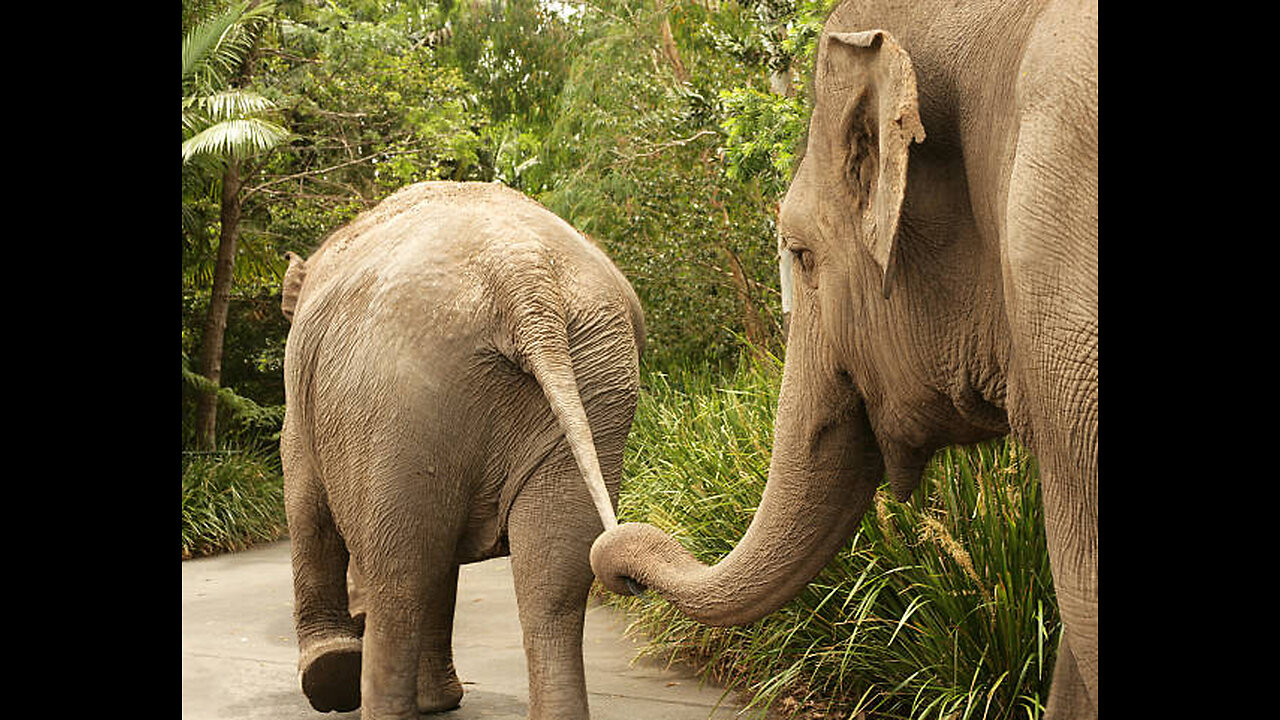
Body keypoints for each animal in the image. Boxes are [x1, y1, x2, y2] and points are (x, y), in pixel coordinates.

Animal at [276, 180, 645, 717]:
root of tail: (523, 276)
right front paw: (438, 701)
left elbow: (306, 501)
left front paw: (329, 675)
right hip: (599, 378)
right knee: (554, 579)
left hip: (400, 397)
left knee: (400, 573)